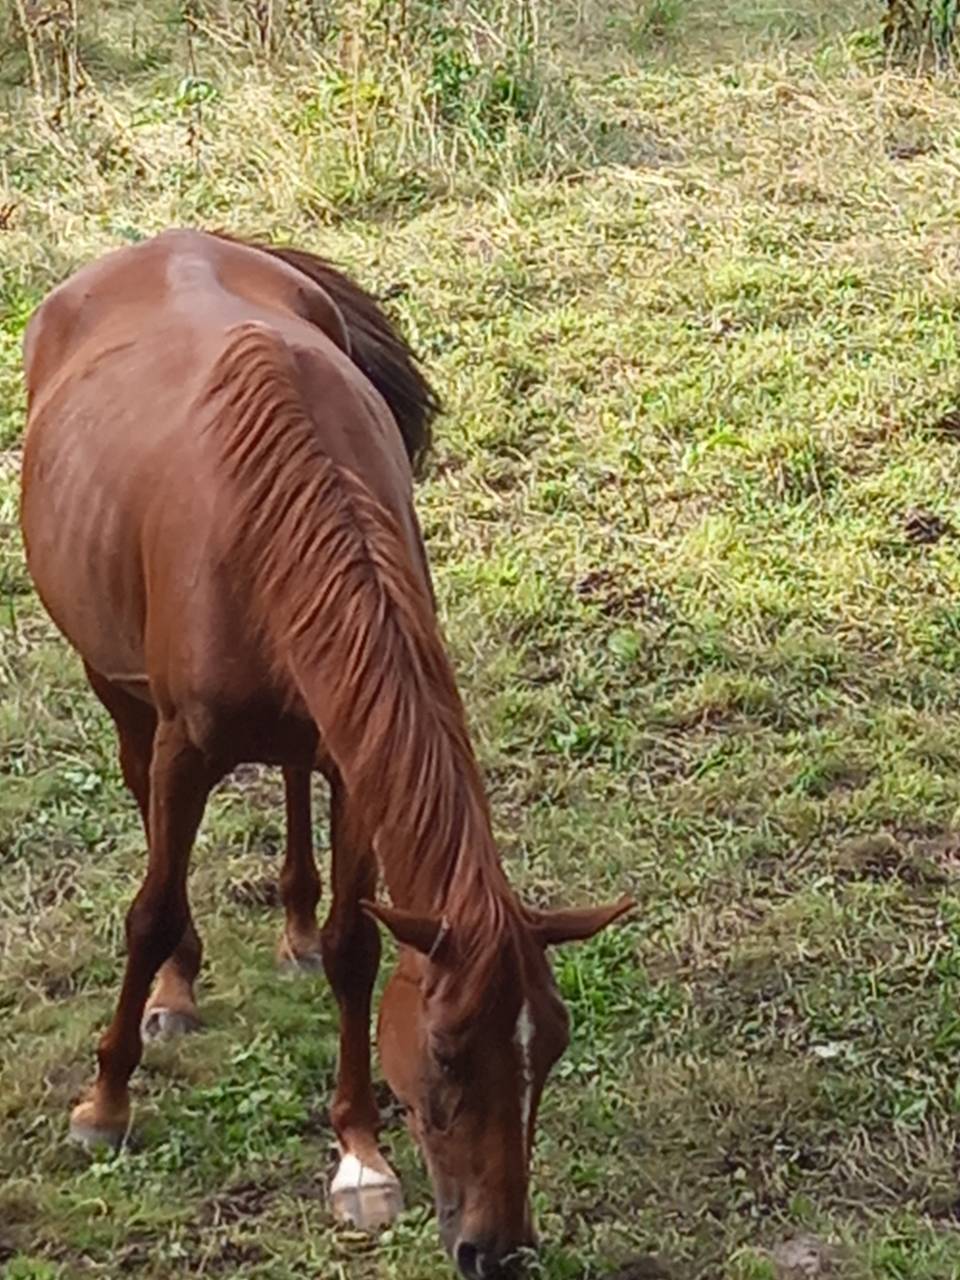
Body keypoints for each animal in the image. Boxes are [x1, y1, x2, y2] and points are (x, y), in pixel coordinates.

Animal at [19, 228, 633, 1279]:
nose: (499, 1252)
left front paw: (358, 1157)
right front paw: (105, 1102)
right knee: (144, 801)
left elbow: (357, 945)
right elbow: (149, 909)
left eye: (548, 1051)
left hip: (308, 727)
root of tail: (177, 237)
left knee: (292, 782)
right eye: (446, 1053)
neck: (273, 510)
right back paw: (178, 987)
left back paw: (294, 927)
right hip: (118, 685)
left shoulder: (354, 757)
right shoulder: (185, 748)